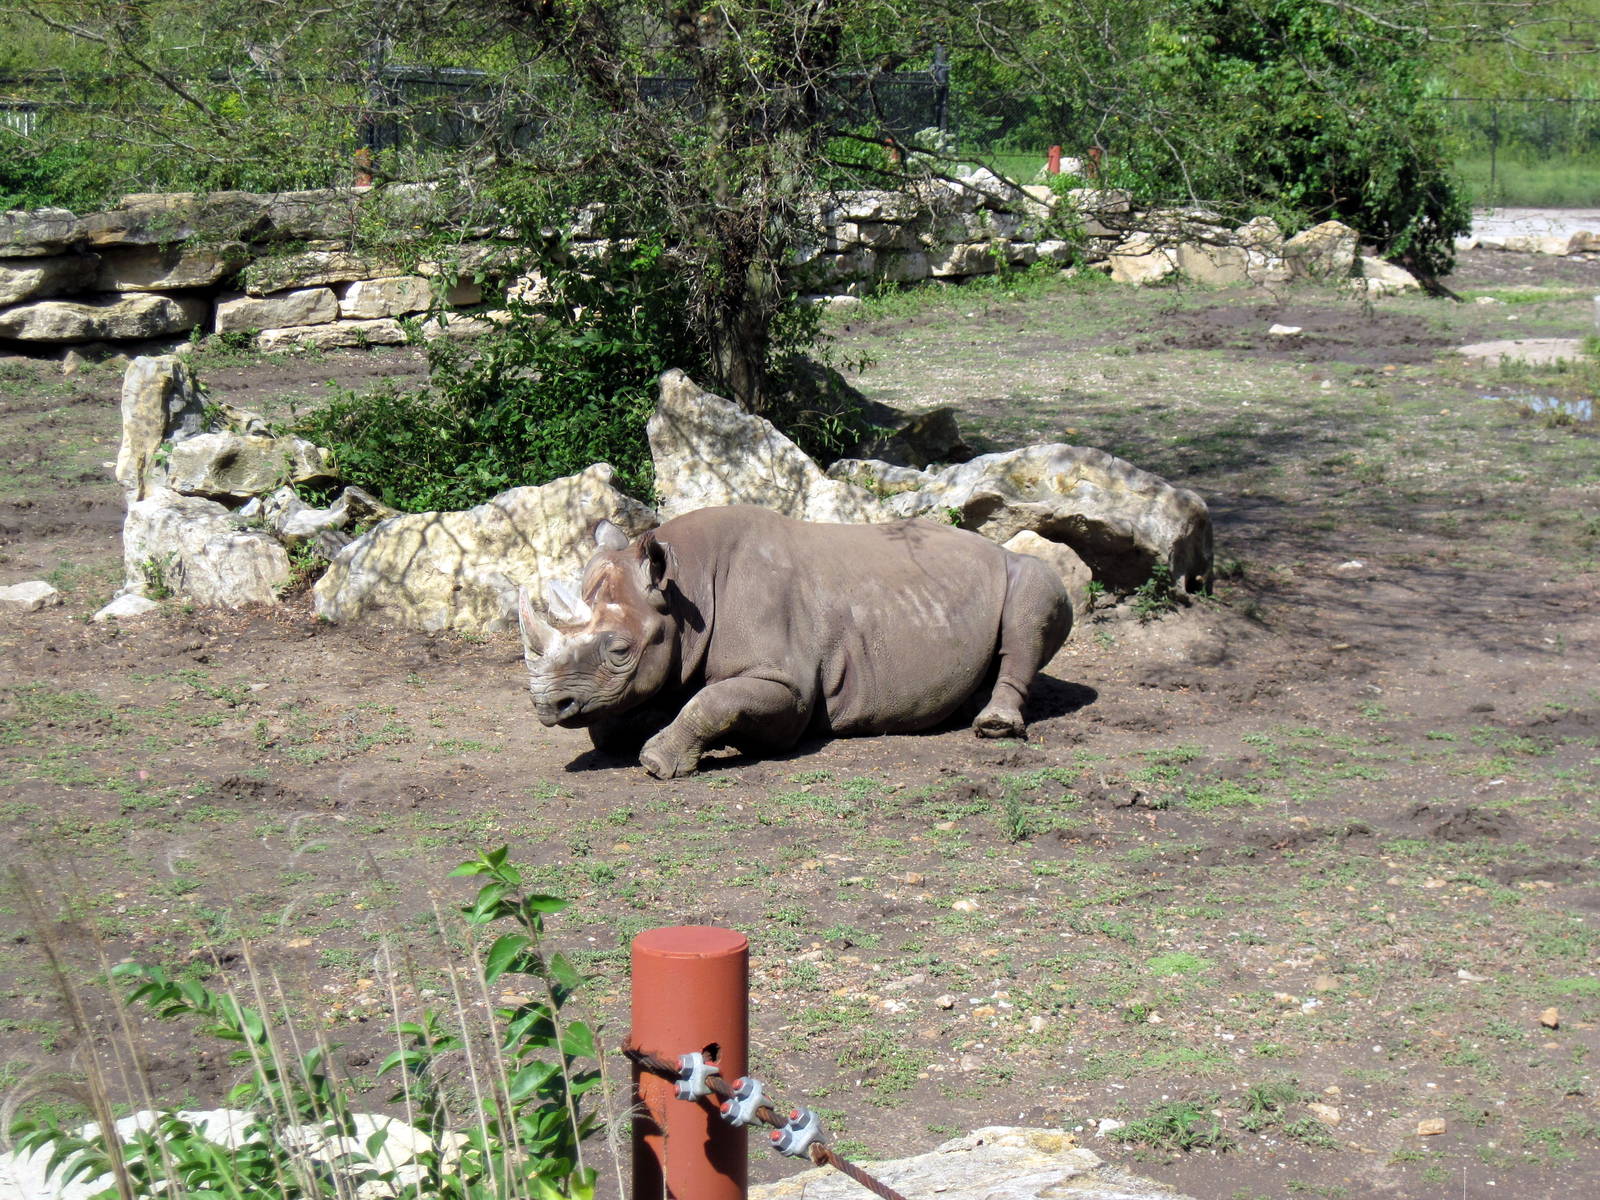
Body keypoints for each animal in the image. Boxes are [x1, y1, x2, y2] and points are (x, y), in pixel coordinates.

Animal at [517, 505, 1073, 778]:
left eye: (620, 651)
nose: (547, 706)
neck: (685, 586)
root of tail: (990, 545)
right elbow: (614, 719)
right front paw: (626, 730)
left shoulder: (788, 687)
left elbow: (714, 701)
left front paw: (656, 762)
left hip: (1023, 567)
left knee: (1035, 591)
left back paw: (994, 726)